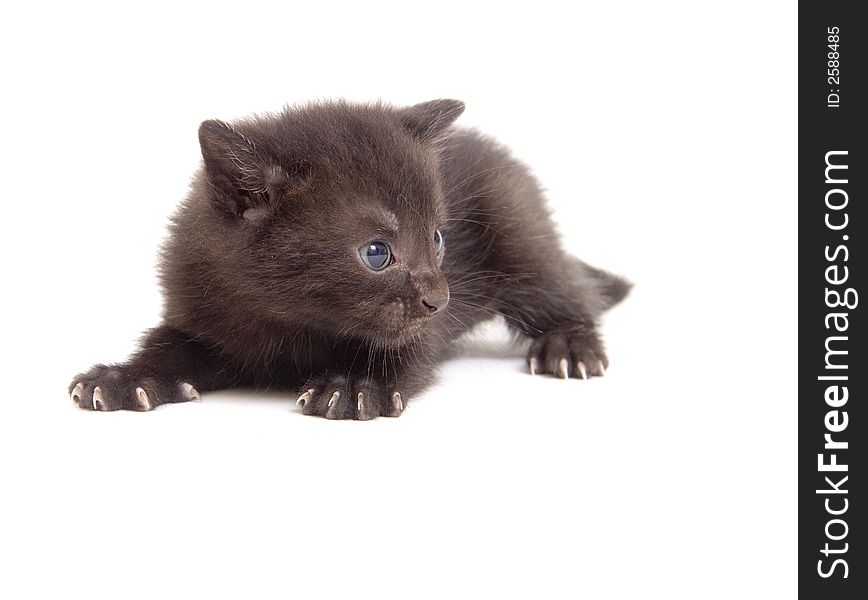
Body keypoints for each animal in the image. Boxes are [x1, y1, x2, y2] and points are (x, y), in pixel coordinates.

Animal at [68, 98, 628, 420]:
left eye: (438, 238)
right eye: (376, 252)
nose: (440, 299)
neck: (292, 321)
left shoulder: (420, 330)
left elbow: (402, 349)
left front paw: (358, 386)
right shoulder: (199, 313)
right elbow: (166, 346)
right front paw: (124, 378)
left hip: (519, 228)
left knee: (563, 288)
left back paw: (570, 348)